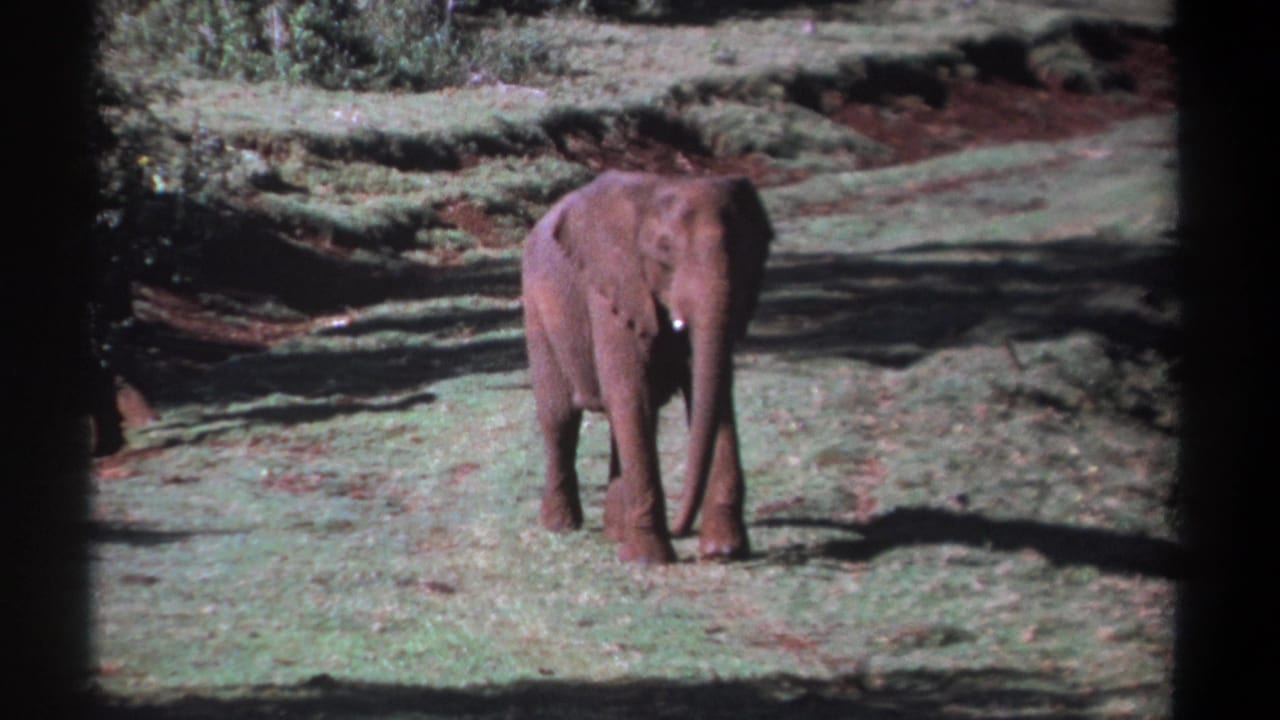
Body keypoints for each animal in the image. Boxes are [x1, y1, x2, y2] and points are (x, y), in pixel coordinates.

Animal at [521, 170, 773, 563]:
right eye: (665, 249)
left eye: (739, 249)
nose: (682, 527)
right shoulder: (612, 288)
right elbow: (631, 395)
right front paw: (647, 560)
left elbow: (712, 393)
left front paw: (724, 550)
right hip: (537, 311)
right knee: (560, 417)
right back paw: (561, 528)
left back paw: (614, 534)